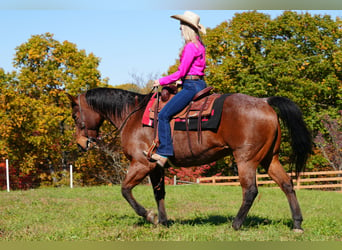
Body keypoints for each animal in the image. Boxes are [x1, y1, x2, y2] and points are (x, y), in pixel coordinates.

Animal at [67, 87, 312, 231]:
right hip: (270, 159)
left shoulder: (142, 163)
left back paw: (235, 224)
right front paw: (164, 223)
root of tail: (265, 102)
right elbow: (159, 193)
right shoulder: (157, 167)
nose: (81, 143)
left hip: (246, 160)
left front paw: (150, 216)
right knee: (287, 184)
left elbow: (125, 190)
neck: (134, 116)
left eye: (75, 115)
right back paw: (297, 223)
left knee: (250, 191)